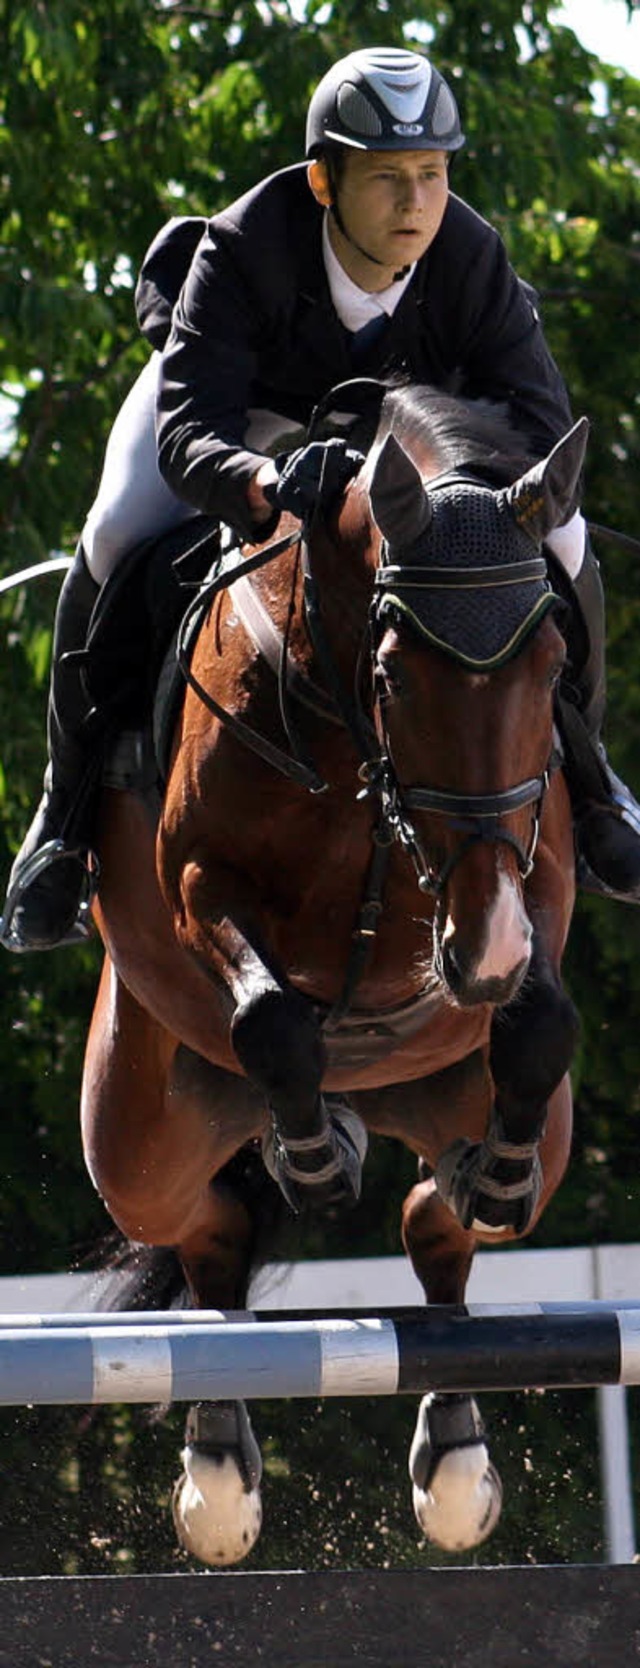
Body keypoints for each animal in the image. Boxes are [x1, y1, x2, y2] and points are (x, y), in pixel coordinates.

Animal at [82, 386, 586, 1561]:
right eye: (397, 673)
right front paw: (311, 1162)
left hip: (491, 1108)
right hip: (137, 1138)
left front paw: (494, 1165)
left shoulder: (528, 870)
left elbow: (542, 1014)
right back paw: (221, 1473)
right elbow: (271, 1016)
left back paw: (456, 1453)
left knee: (438, 1222)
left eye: (551, 670)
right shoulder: (196, 880)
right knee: (207, 1231)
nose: (478, 959)